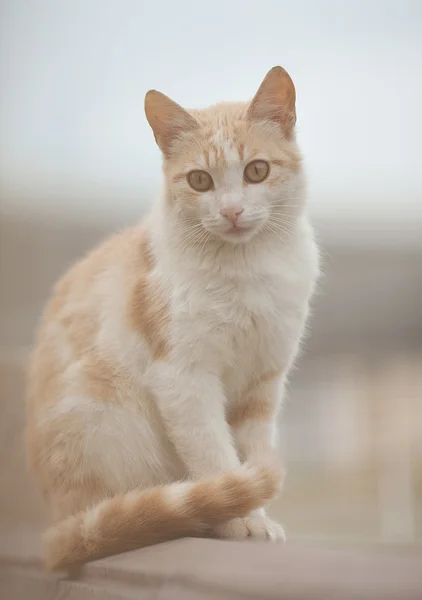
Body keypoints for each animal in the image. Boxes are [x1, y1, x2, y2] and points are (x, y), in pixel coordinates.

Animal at [26, 67, 318, 572]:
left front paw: (253, 515)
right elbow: (216, 456)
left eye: (256, 171)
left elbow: (248, 451)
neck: (246, 270)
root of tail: (59, 530)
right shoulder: (184, 378)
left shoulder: (262, 383)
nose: (232, 211)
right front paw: (239, 519)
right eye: (199, 180)